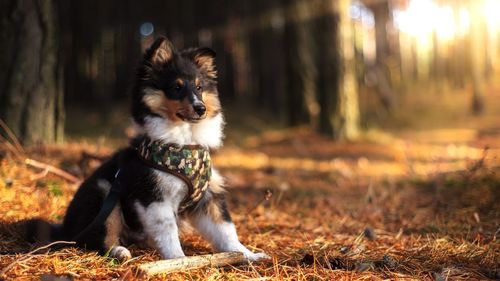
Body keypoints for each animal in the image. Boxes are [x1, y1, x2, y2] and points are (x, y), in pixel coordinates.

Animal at [28, 36, 268, 260]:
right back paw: (119, 251)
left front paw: (249, 255)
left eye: (199, 87)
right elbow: (168, 230)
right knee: (95, 239)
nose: (201, 108)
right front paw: (177, 260)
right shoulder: (154, 196)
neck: (185, 142)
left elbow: (226, 230)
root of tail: (65, 230)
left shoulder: (209, 196)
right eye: (176, 87)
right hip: (105, 193)